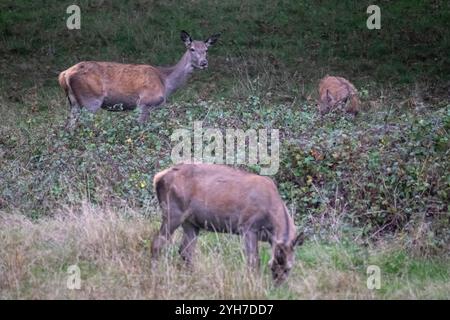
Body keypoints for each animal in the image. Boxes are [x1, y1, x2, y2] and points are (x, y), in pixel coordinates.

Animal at [59, 30, 221, 129]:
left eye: (206, 50)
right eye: (191, 49)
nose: (204, 63)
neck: (165, 82)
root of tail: (64, 74)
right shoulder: (144, 103)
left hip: (74, 103)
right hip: (91, 101)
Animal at [153, 164, 304, 284]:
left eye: (288, 268)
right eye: (271, 266)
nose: (277, 286)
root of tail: (158, 177)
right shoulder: (248, 226)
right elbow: (253, 260)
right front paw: (252, 283)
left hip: (190, 222)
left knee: (185, 250)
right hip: (172, 212)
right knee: (158, 243)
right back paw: (154, 273)